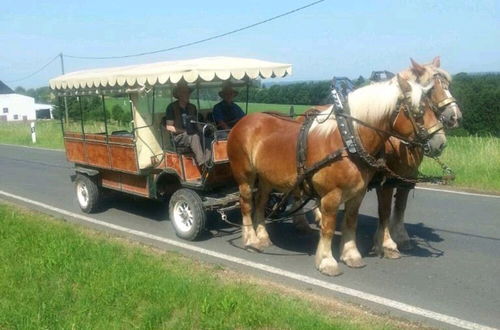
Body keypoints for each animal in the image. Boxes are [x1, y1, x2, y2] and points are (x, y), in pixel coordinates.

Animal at [227, 75, 446, 276]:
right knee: (246, 203)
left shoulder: (358, 194)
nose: (441, 142)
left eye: (433, 108)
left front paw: (351, 255)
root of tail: (245, 121)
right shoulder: (333, 195)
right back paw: (251, 239)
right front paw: (327, 261)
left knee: (261, 202)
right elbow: (329, 227)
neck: (349, 140)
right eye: (418, 112)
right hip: (245, 175)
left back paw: (262, 236)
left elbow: (351, 222)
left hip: (265, 178)